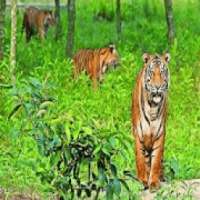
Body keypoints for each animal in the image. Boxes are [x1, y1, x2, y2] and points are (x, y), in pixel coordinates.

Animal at [131, 52, 170, 191]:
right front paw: (143, 180)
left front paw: (153, 182)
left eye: (162, 72)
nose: (157, 87)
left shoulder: (160, 133)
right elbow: (140, 159)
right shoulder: (138, 133)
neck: (153, 106)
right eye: (152, 73)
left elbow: (156, 160)